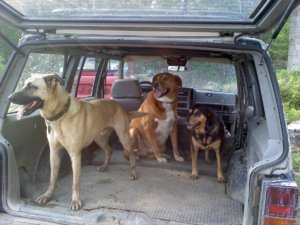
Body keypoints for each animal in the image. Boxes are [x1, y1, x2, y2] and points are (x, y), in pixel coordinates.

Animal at [8, 73, 144, 210]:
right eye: (24, 84)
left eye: (31, 86)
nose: (9, 97)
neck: (60, 115)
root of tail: (119, 105)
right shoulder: (54, 152)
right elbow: (52, 178)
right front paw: (48, 195)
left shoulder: (75, 154)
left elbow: (75, 182)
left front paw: (75, 200)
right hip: (99, 138)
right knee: (109, 150)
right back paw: (104, 166)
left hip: (123, 137)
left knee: (131, 154)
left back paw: (133, 173)